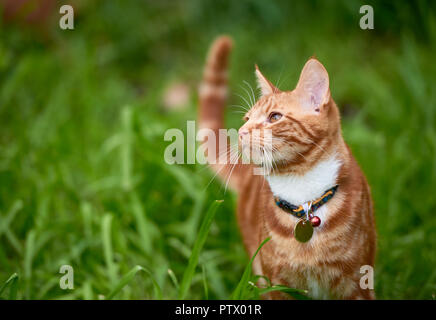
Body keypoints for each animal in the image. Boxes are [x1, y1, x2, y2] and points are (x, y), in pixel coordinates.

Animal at [199, 36, 376, 298]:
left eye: (274, 117)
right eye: (247, 119)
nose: (241, 132)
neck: (303, 195)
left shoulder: (358, 282)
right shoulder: (277, 284)